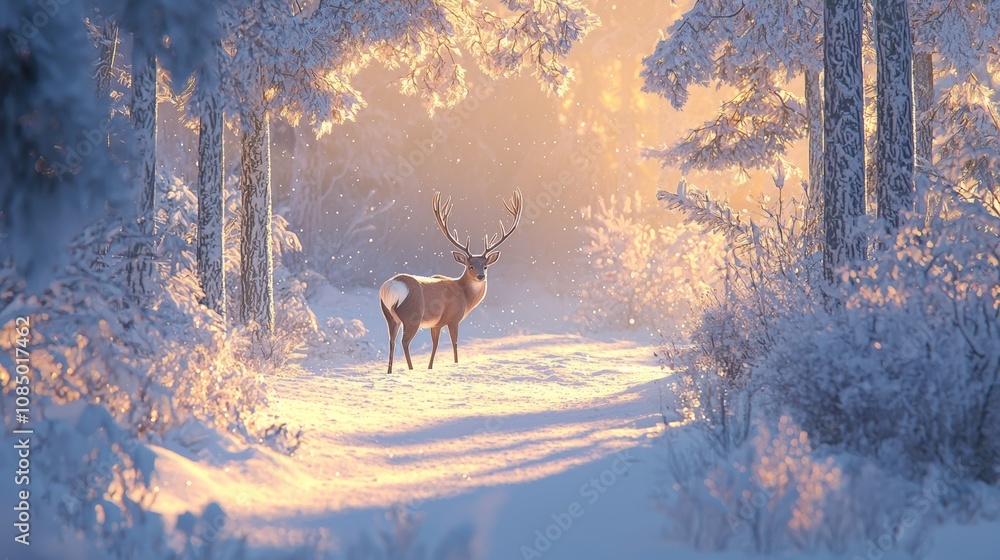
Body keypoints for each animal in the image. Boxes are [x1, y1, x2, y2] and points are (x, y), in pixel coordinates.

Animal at [378, 189, 522, 374]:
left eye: (485, 266)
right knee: (405, 342)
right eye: (470, 266)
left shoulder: (436, 324)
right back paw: (411, 369)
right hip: (412, 316)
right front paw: (455, 364)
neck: (465, 297)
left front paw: (430, 367)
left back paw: (389, 372)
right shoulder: (453, 318)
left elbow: (435, 346)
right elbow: (453, 344)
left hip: (389, 316)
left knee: (391, 342)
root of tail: (390, 288)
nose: (481, 277)